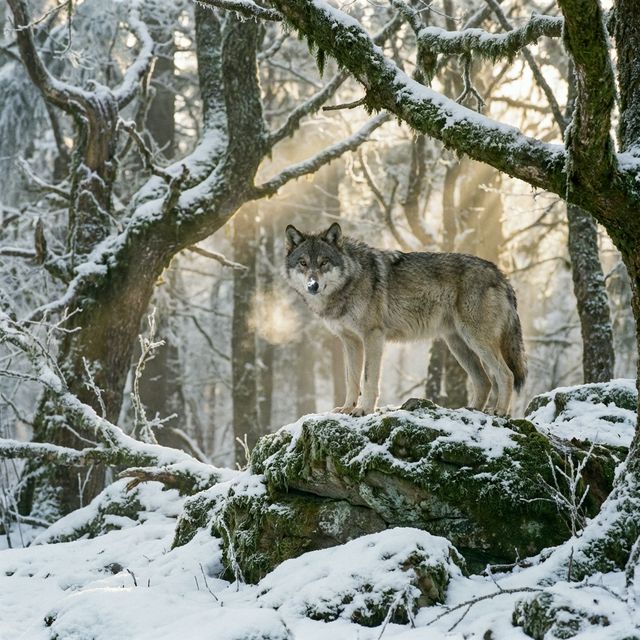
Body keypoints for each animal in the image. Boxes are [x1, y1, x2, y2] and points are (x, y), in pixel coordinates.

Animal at [284, 222, 527, 416]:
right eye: (303, 263)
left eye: (324, 262)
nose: (312, 285)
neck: (351, 279)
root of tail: (501, 275)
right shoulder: (350, 341)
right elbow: (351, 379)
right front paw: (347, 408)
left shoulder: (373, 336)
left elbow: (368, 378)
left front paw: (364, 409)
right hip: (459, 345)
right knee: (484, 381)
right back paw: (470, 411)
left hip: (476, 341)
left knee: (506, 375)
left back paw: (499, 412)